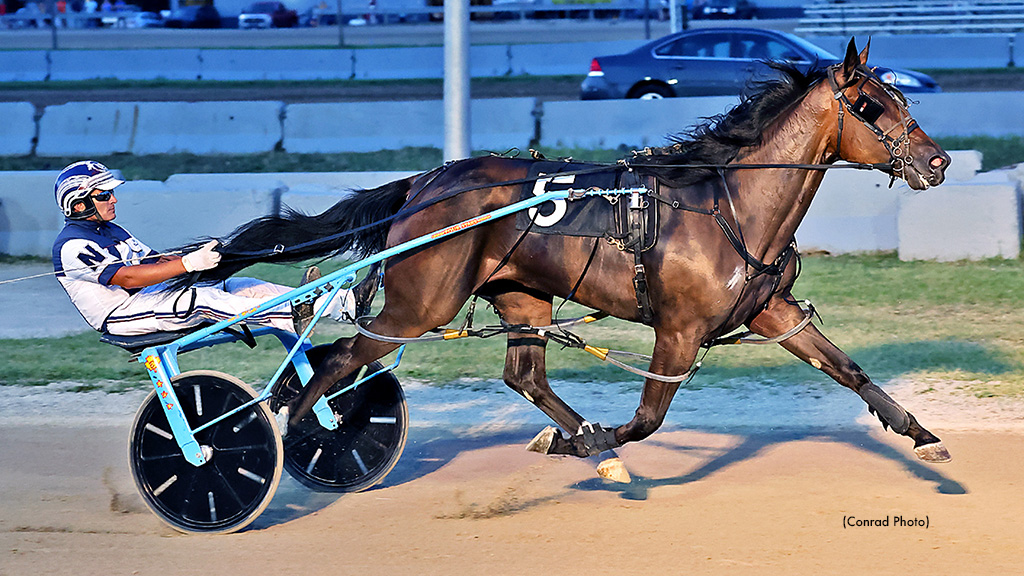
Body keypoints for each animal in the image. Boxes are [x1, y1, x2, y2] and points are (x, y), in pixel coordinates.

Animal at [187, 39, 953, 472]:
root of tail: (424, 185)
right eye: (872, 106)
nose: (939, 161)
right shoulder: (678, 330)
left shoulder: (770, 310)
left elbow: (848, 369)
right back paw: (291, 431)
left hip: (521, 294)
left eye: (897, 97)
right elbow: (647, 419)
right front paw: (587, 441)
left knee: (522, 374)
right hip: (418, 305)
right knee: (338, 362)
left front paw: (921, 436)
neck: (730, 204)